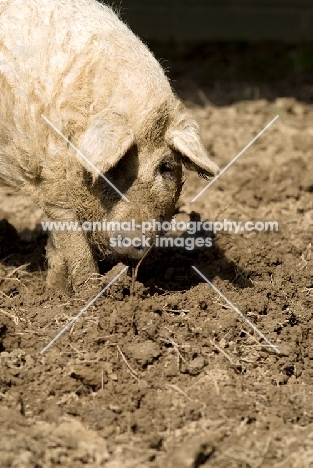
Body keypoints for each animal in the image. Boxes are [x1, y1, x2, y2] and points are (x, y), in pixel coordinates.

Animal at [0, 0, 218, 292]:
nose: (134, 237)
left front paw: (55, 292)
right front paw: (90, 295)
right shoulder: (54, 186)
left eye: (166, 166)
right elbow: (75, 249)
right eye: (115, 165)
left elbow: (57, 248)